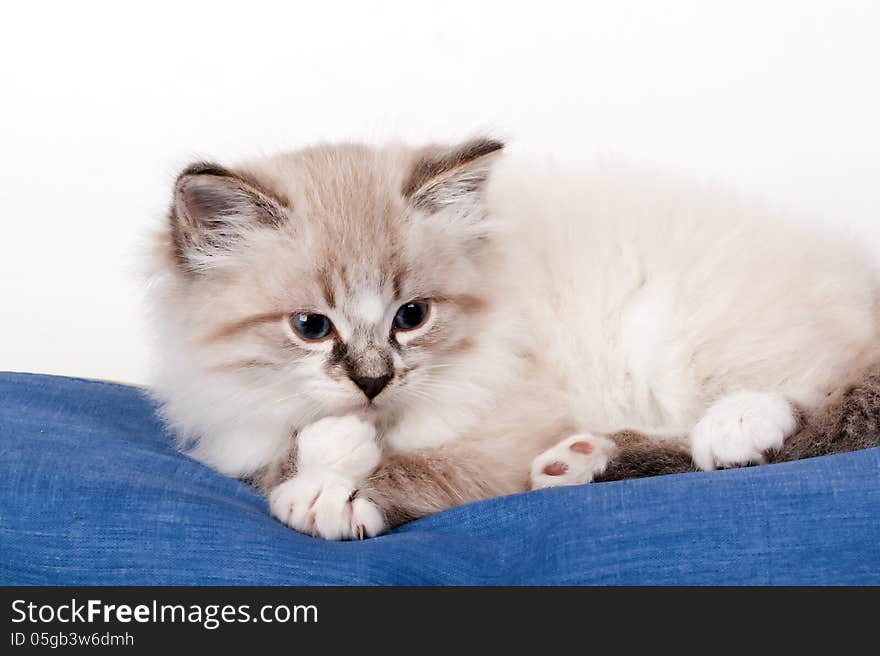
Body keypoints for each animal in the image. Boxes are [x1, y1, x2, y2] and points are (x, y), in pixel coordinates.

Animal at [146, 137, 880, 540]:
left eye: (411, 316)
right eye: (310, 327)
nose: (374, 381)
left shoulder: (502, 428)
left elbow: (418, 465)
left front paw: (333, 488)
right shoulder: (238, 431)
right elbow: (284, 449)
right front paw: (329, 449)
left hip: (686, 335)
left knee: (822, 400)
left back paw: (734, 427)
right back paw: (577, 461)